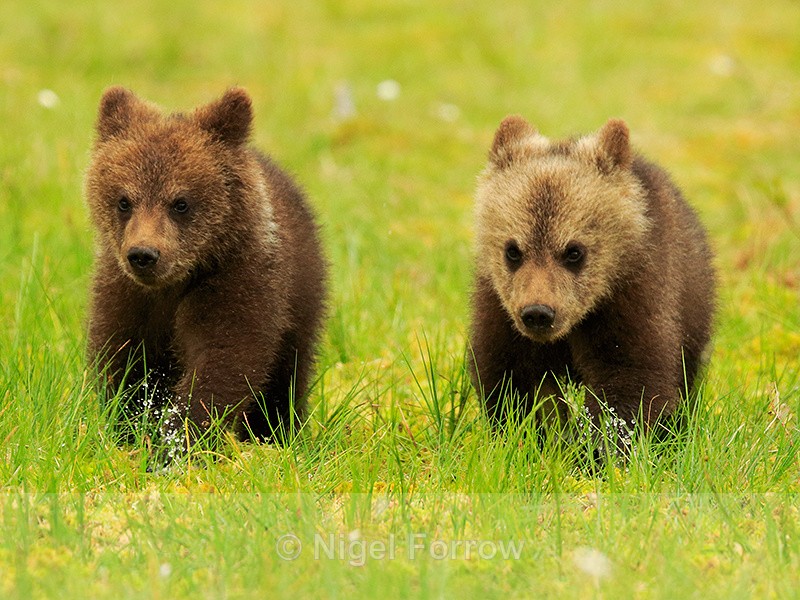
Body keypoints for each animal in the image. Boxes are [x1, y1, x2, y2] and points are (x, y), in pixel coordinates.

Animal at [85, 87, 327, 459]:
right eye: (124, 200)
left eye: (180, 202)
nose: (143, 255)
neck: (175, 282)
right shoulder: (126, 293)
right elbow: (124, 362)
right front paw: (129, 434)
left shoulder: (237, 280)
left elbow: (222, 359)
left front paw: (177, 443)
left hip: (300, 298)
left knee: (286, 377)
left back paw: (277, 433)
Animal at [469, 115, 715, 442]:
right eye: (512, 250)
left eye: (574, 251)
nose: (538, 313)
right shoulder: (500, 311)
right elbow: (512, 382)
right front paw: (533, 437)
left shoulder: (632, 297)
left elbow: (631, 381)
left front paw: (601, 447)